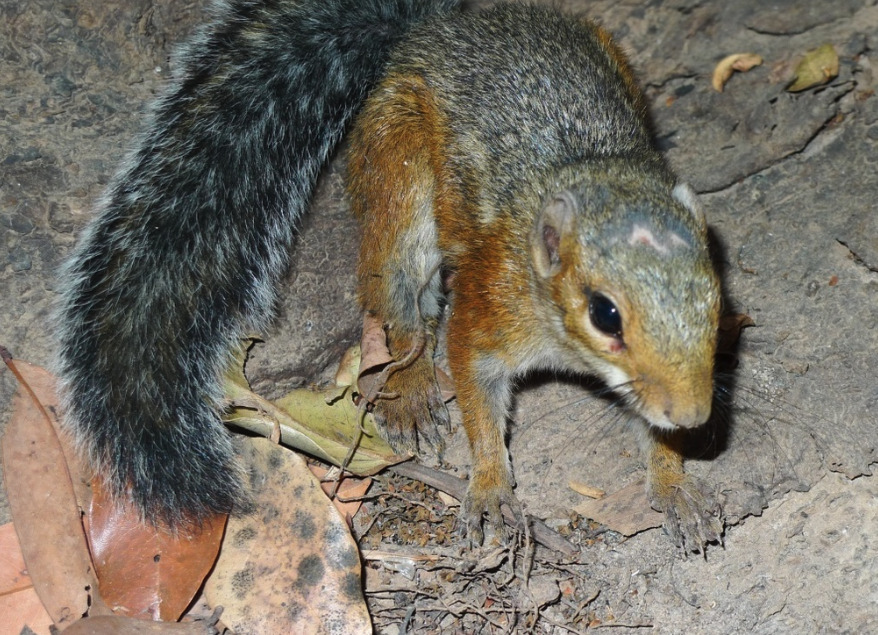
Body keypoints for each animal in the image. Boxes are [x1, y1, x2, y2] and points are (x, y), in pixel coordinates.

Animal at [57, 0, 724, 552]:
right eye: (605, 314)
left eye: (717, 301)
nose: (695, 416)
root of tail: (436, 25)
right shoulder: (489, 309)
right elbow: (475, 389)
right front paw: (490, 489)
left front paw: (674, 484)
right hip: (398, 166)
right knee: (394, 298)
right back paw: (408, 386)